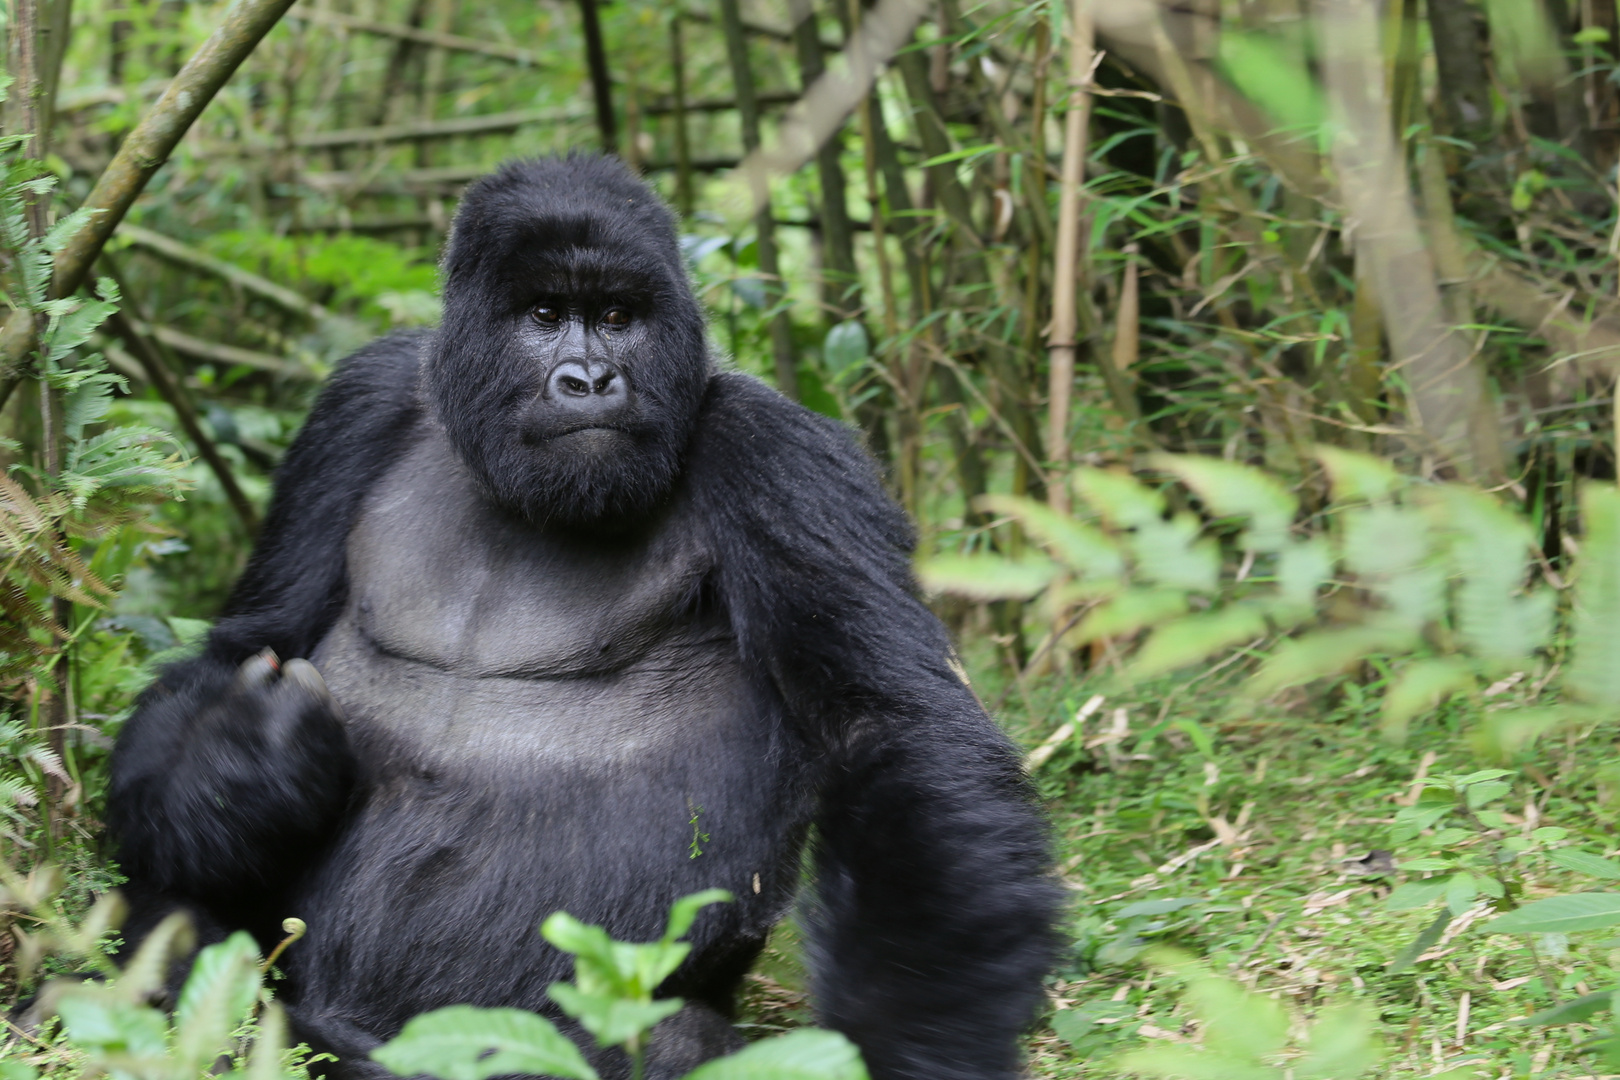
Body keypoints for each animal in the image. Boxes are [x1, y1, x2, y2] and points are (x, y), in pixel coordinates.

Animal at [104, 156, 1062, 1080]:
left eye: (615, 315)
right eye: (543, 314)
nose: (591, 379)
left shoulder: (782, 457)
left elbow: (894, 729)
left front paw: (920, 1051)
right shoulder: (356, 405)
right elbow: (250, 637)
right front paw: (238, 762)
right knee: (169, 925)